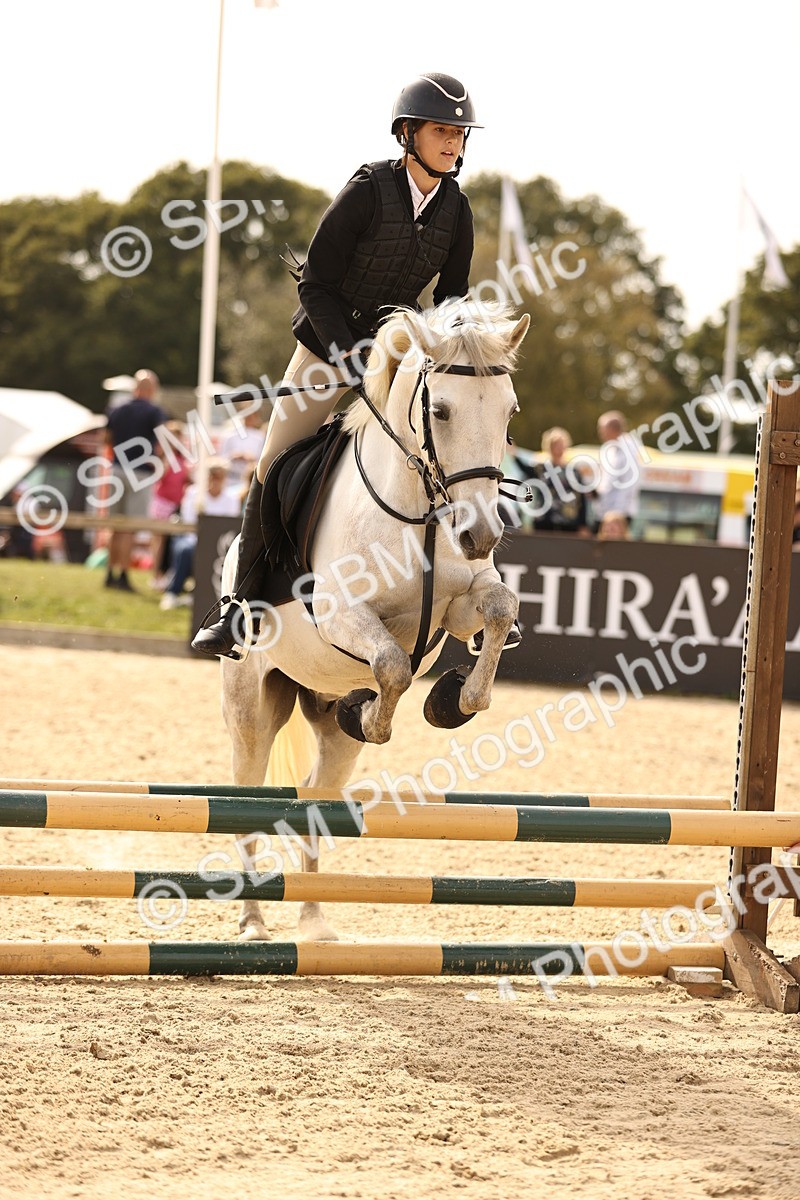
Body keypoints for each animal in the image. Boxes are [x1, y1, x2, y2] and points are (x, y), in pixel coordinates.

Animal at [220, 299, 530, 941]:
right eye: (440, 410)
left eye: (509, 410)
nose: (481, 534)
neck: (419, 511)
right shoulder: (342, 615)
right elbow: (390, 664)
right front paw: (371, 714)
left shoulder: (457, 606)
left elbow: (498, 609)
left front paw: (453, 700)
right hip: (251, 707)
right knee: (245, 801)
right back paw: (254, 922)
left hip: (323, 727)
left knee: (314, 799)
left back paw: (313, 922)